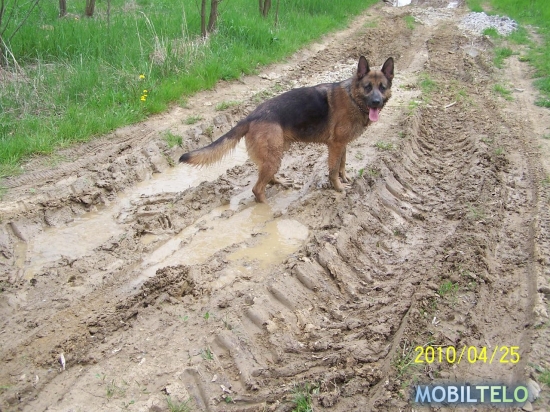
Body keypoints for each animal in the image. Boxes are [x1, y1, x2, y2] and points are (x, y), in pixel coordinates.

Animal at [179, 56, 394, 203]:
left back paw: (280, 183)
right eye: (368, 87)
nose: (376, 102)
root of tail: (252, 115)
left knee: (267, 178)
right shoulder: (336, 145)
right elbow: (333, 170)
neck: (353, 98)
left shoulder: (342, 145)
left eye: (382, 87)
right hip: (274, 154)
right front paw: (338, 187)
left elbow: (342, 163)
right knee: (257, 189)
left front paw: (344, 177)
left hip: (277, 151)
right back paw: (267, 208)